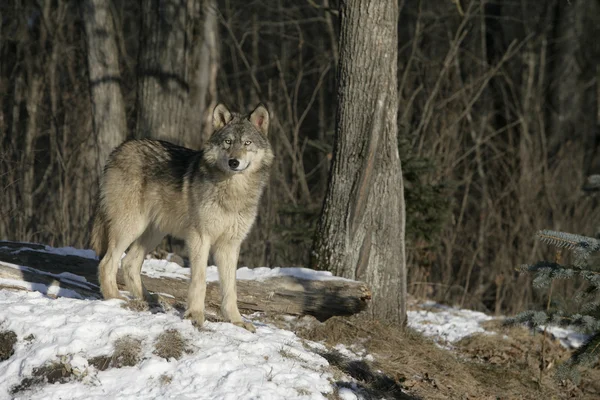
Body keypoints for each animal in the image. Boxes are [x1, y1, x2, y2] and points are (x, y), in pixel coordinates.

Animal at [89, 103, 274, 332]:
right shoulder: (199, 238)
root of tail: (117, 150)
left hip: (153, 233)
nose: (234, 162)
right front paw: (195, 316)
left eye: (247, 143)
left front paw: (237, 321)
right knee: (107, 263)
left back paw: (149, 298)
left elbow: (231, 288)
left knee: (129, 263)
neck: (233, 191)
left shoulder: (230, 245)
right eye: (228, 142)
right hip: (130, 227)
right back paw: (114, 298)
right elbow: (200, 280)